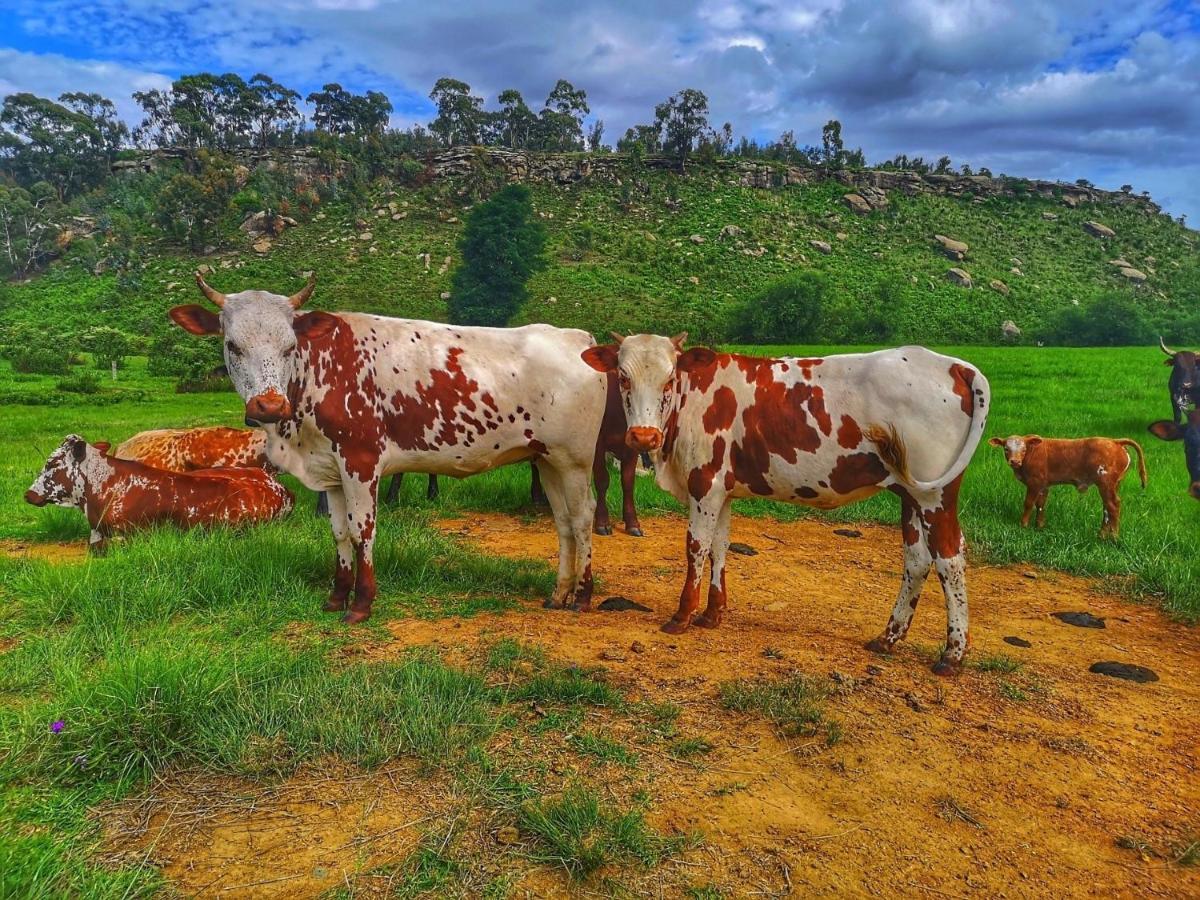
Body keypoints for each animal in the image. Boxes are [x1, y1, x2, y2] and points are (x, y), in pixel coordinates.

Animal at [169, 274, 604, 624]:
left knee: (583, 517)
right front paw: (336, 597)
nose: (269, 406)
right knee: (563, 521)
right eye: (232, 345)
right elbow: (339, 533)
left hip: (575, 461)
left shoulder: (360, 462)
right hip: (547, 459)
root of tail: (577, 337)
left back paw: (582, 596)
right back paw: (559, 592)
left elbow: (363, 531)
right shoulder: (330, 469)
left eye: (289, 345)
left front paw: (362, 603)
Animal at [578, 336, 984, 676]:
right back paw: (889, 637)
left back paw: (952, 653)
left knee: (949, 558)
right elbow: (719, 547)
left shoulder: (705, 484)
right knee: (917, 560)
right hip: (910, 494)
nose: (643, 436)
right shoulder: (723, 490)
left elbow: (696, 547)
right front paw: (712, 613)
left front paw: (682, 615)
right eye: (623, 377)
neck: (693, 398)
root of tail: (953, 364)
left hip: (935, 494)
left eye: (669, 378)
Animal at [988, 434, 1147, 535]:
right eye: (1006, 448)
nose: (1014, 461)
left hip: (1106, 483)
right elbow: (1040, 505)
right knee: (1107, 509)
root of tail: (1115, 441)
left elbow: (1028, 504)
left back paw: (1113, 538)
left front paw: (1023, 525)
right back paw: (1101, 536)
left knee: (1113, 506)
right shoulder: (1043, 485)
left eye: (1023, 449)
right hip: (1114, 485)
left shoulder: (1034, 482)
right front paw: (1039, 526)